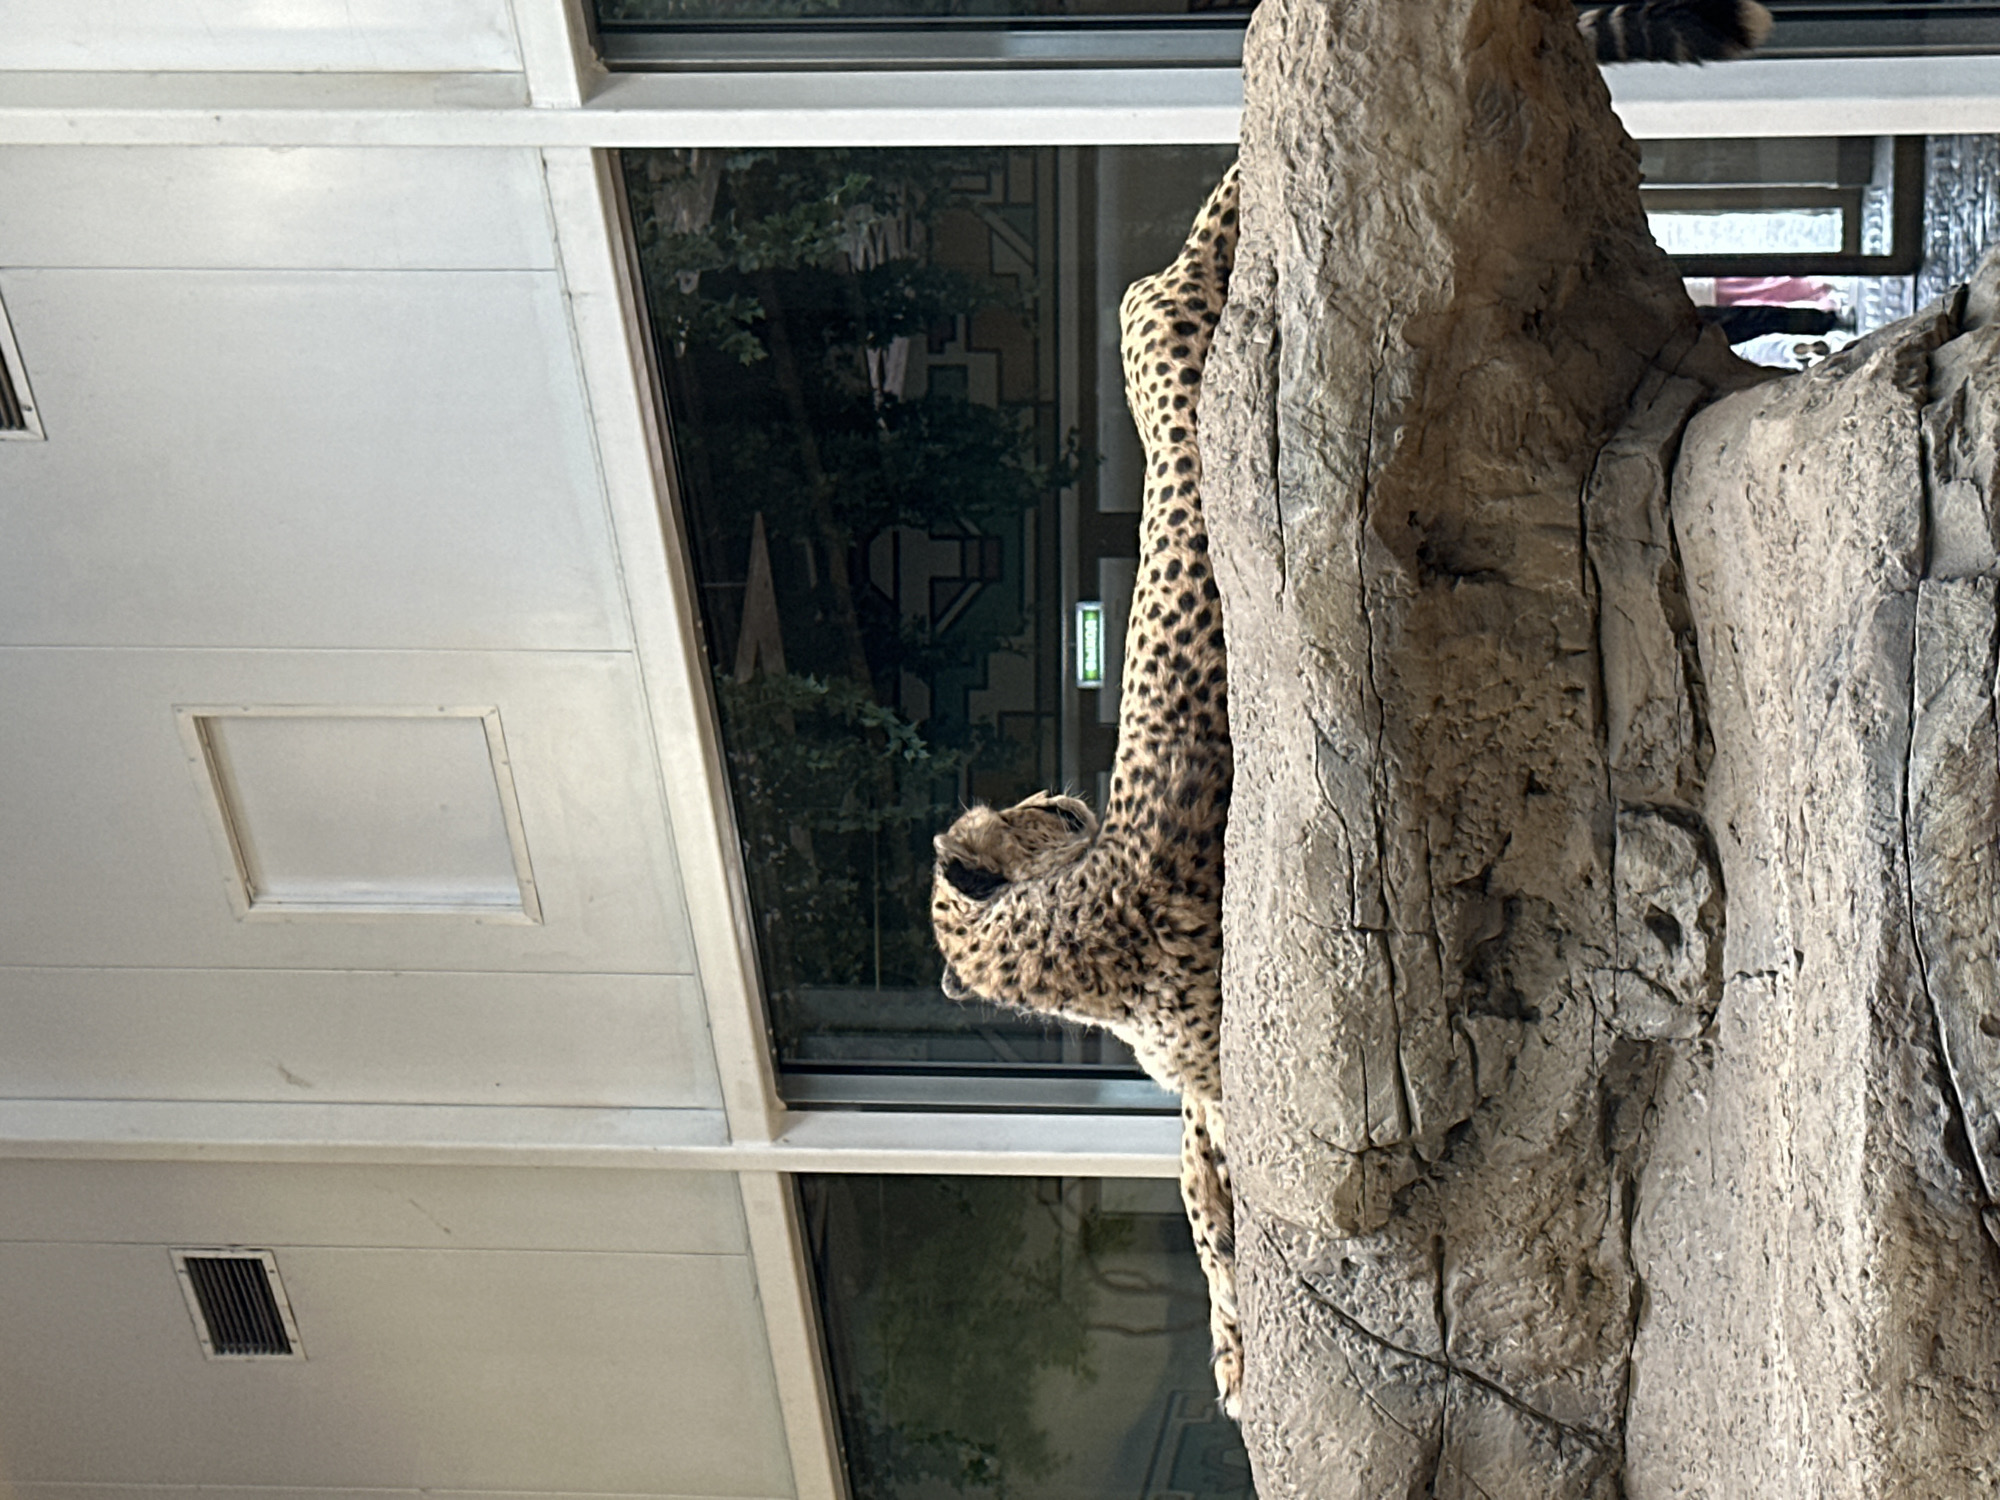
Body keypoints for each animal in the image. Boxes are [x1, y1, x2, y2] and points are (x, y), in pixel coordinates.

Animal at [929, 0, 1773, 1423]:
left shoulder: (1221, 1078)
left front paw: (1231, 1341)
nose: (1055, 794)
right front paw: (1231, 1337)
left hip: (1186, 346)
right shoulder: (1218, 1090)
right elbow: (1202, 1186)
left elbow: (1204, 1193)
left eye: (1030, 810)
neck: (1060, 934)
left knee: (1175, 307)